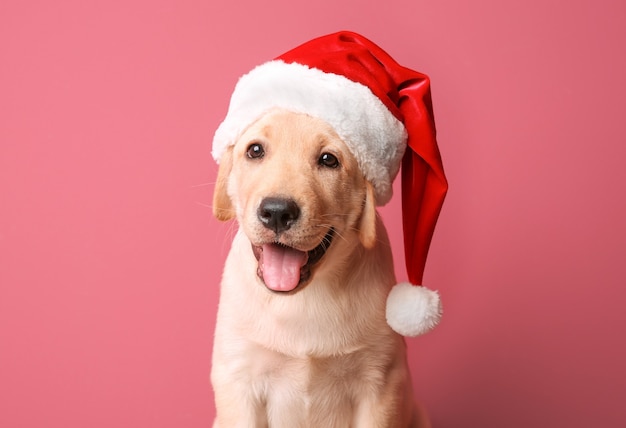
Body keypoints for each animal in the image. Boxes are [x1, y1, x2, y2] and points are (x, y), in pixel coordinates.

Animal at [210, 109, 428, 428]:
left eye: (328, 160)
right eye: (255, 150)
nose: (277, 212)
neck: (301, 299)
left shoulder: (379, 383)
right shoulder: (239, 379)